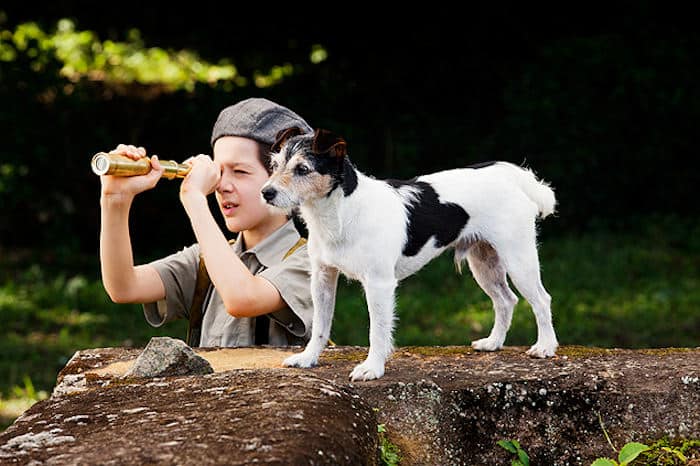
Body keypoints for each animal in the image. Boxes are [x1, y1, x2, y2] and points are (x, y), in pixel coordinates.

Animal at [262, 125, 556, 380]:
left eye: (303, 169)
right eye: (274, 165)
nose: (266, 193)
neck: (342, 213)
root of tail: (506, 175)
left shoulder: (379, 284)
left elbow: (377, 330)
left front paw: (372, 368)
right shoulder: (322, 277)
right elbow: (320, 326)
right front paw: (308, 358)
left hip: (519, 259)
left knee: (541, 300)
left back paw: (545, 347)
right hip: (484, 262)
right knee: (506, 300)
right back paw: (494, 342)